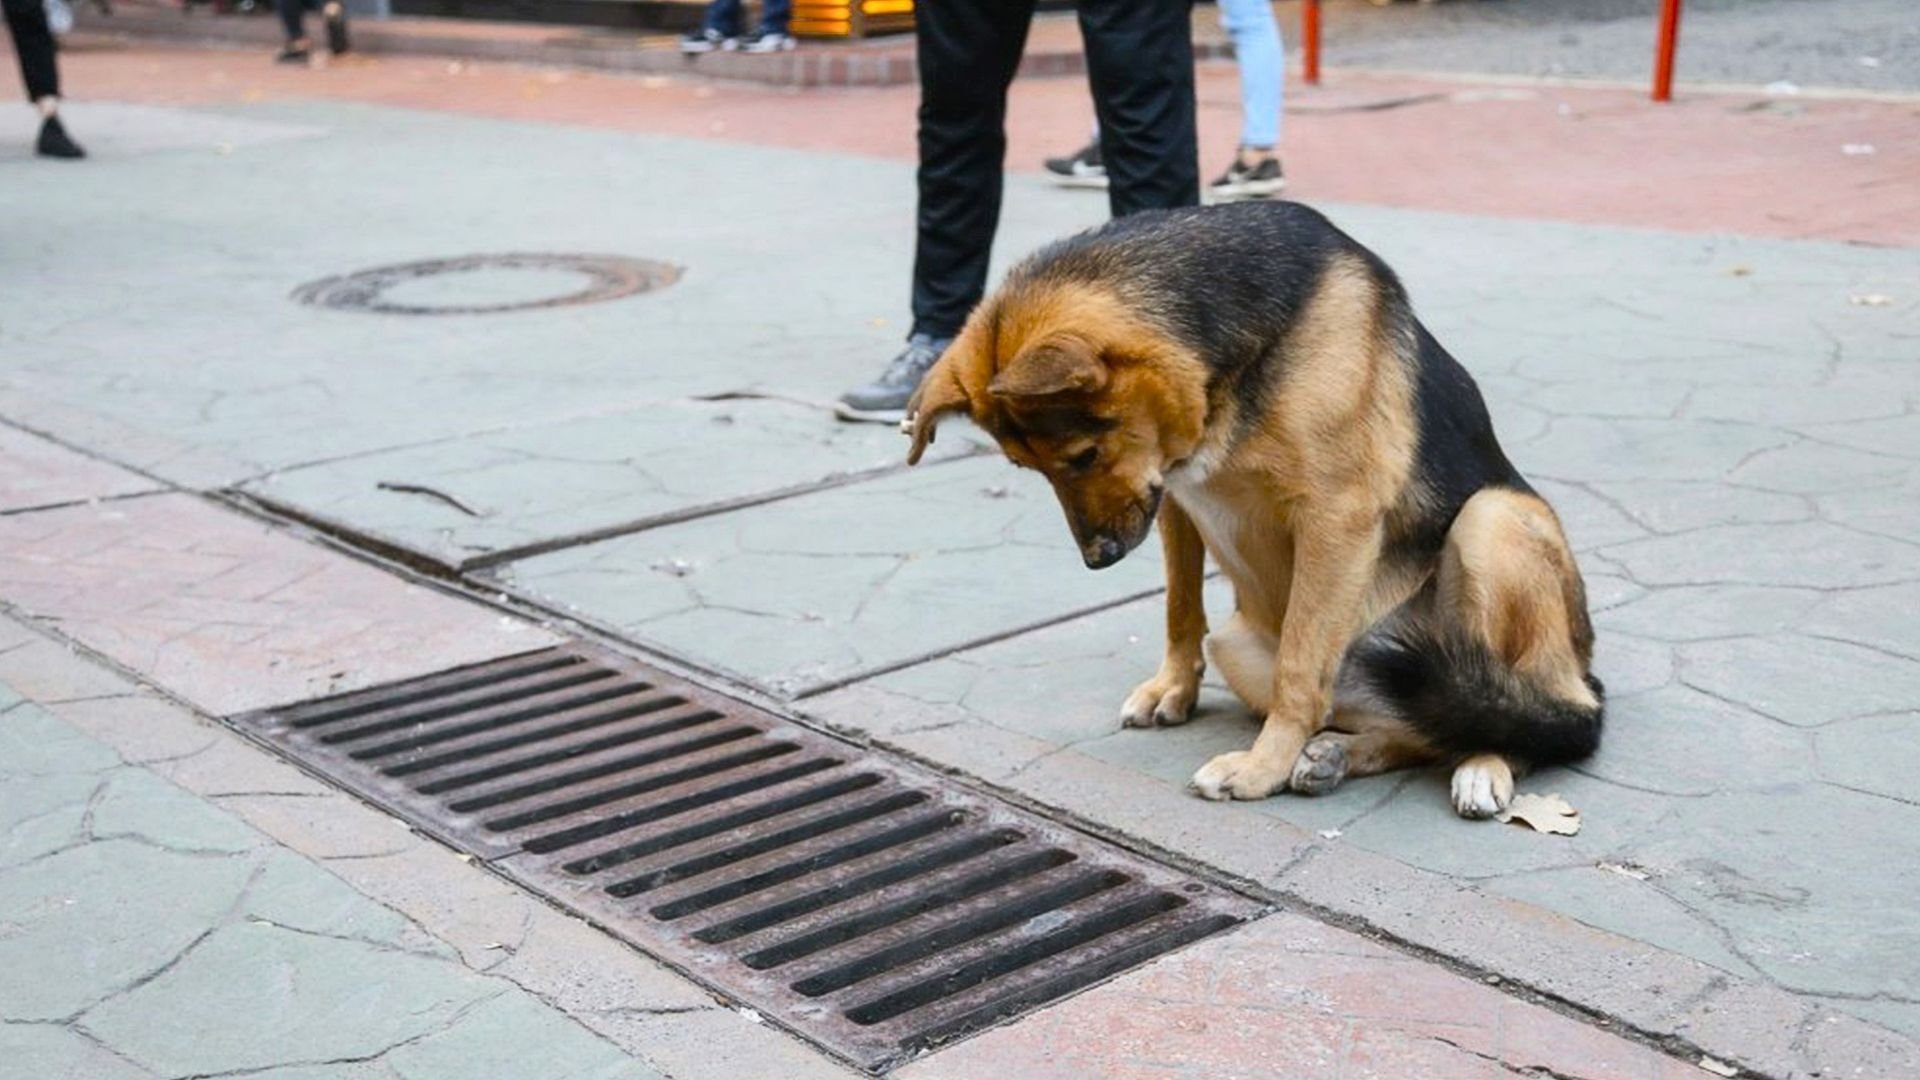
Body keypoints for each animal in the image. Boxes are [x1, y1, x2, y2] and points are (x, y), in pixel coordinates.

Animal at [898, 199, 1605, 814]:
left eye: (1082, 455)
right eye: (1029, 469)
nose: (1099, 560)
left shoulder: (1335, 515)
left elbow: (1300, 665)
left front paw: (1262, 769)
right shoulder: (1173, 499)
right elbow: (1181, 610)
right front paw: (1174, 690)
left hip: (1493, 521)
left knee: (1539, 722)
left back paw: (1484, 762)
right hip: (1242, 646)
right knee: (1417, 727)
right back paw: (1337, 756)